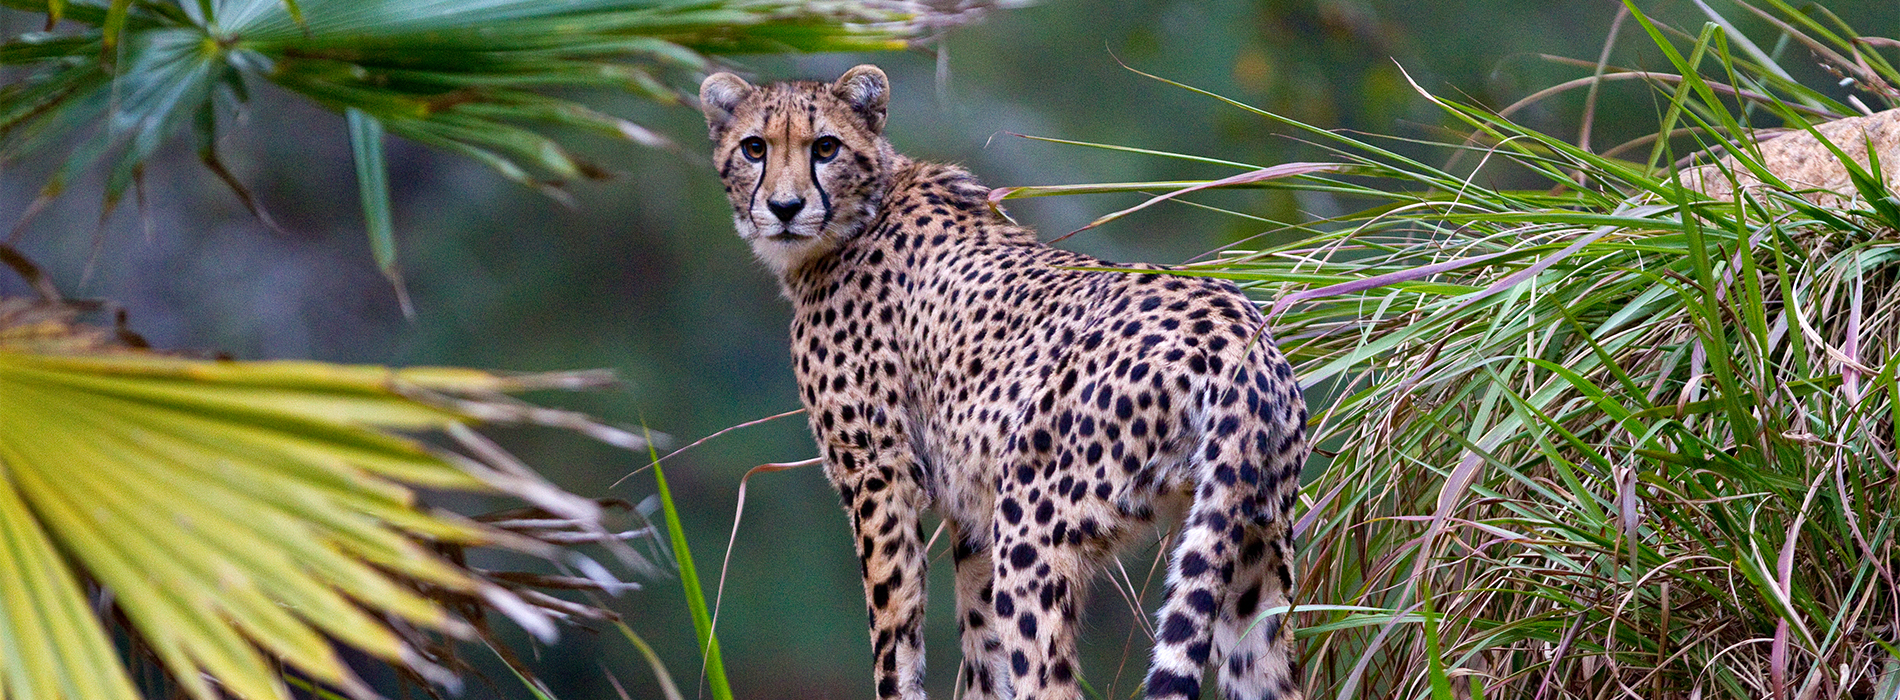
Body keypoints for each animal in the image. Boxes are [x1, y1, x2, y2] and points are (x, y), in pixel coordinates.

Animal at [699, 64, 1309, 700]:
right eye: (754, 148)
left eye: (825, 147)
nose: (785, 207)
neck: (857, 215)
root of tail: (1244, 338)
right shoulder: (970, 510)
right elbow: (980, 644)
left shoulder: (882, 479)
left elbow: (895, 633)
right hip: (1252, 549)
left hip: (1035, 528)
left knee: (1049, 677)